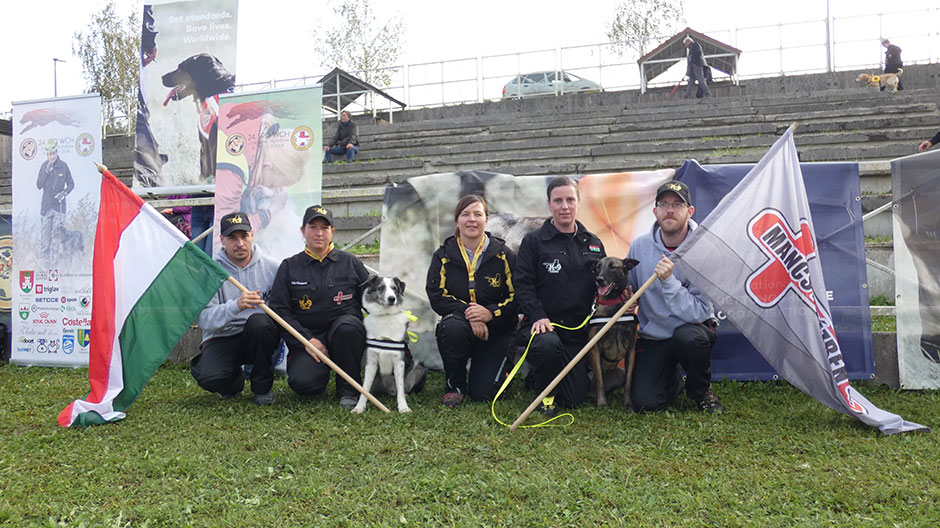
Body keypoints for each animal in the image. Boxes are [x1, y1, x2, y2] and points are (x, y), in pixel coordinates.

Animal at [352, 274, 426, 414]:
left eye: (394, 288)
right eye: (380, 288)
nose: (392, 298)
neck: (385, 316)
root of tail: (388, 390)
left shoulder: (399, 362)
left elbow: (401, 389)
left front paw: (403, 407)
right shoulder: (371, 361)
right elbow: (365, 388)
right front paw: (359, 407)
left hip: (419, 366)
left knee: (404, 390)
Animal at [588, 258, 640, 410]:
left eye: (612, 267)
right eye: (597, 267)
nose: (599, 280)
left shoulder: (631, 350)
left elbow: (629, 381)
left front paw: (628, 403)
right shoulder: (595, 350)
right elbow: (599, 381)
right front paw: (602, 403)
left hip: (619, 373)